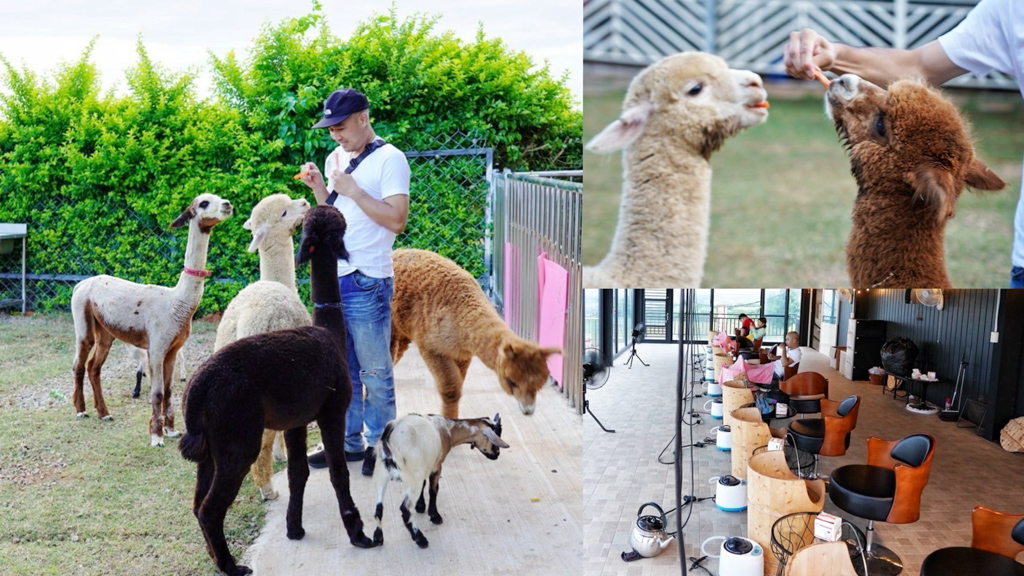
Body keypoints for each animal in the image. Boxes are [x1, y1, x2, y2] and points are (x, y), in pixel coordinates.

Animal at [372, 409, 507, 545]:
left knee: (378, 507)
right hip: (413, 478)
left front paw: (420, 506)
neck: (448, 429)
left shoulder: (427, 464)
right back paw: (420, 539)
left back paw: (378, 537)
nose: (497, 454)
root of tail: (391, 433)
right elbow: (433, 490)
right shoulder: (436, 466)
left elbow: (425, 484)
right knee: (405, 508)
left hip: (381, 473)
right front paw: (434, 516)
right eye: (494, 438)